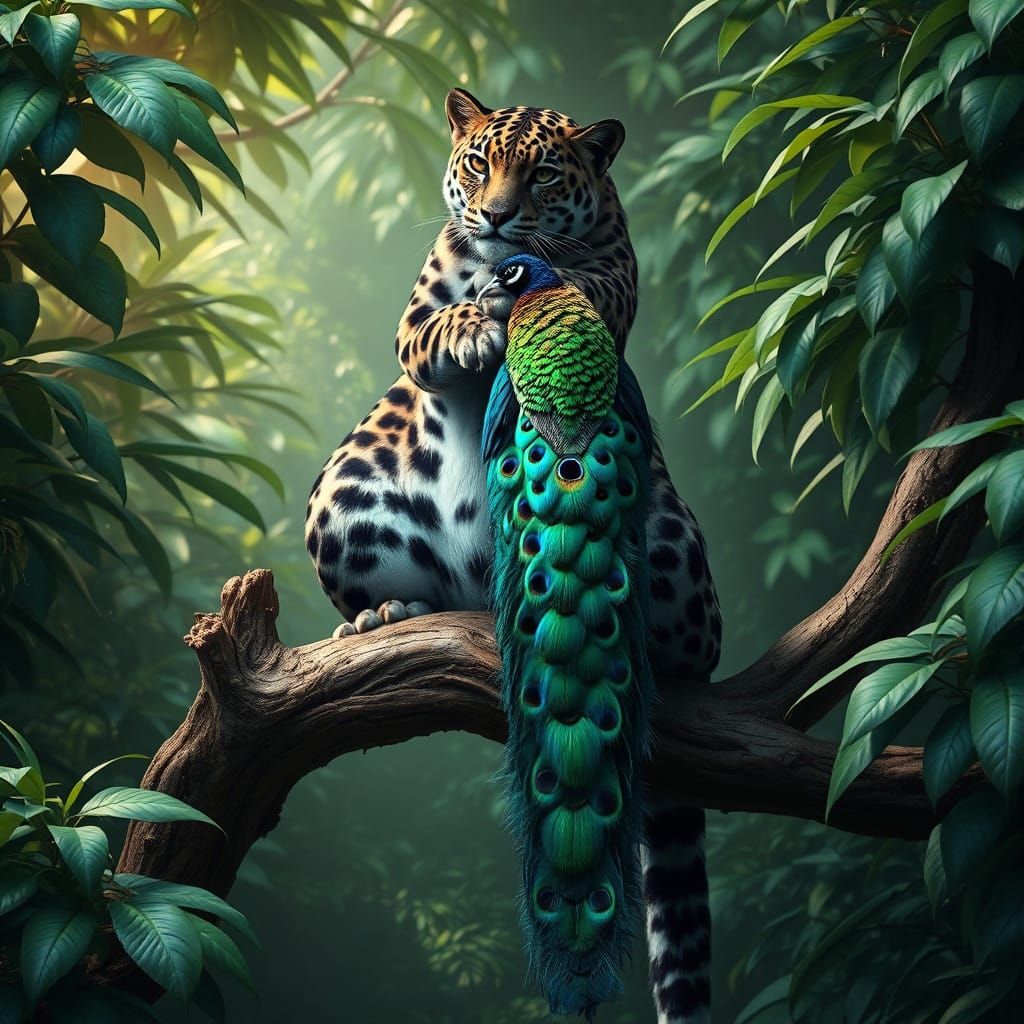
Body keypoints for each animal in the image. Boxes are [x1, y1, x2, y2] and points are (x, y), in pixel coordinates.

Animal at [305, 88, 721, 1024]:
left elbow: (590, 290)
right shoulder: (413, 320)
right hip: (342, 496)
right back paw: (387, 614)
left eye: (545, 174)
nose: (496, 218)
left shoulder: (613, 282)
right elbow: (431, 331)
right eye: (478, 164)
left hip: (671, 534)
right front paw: (473, 326)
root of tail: (480, 588)